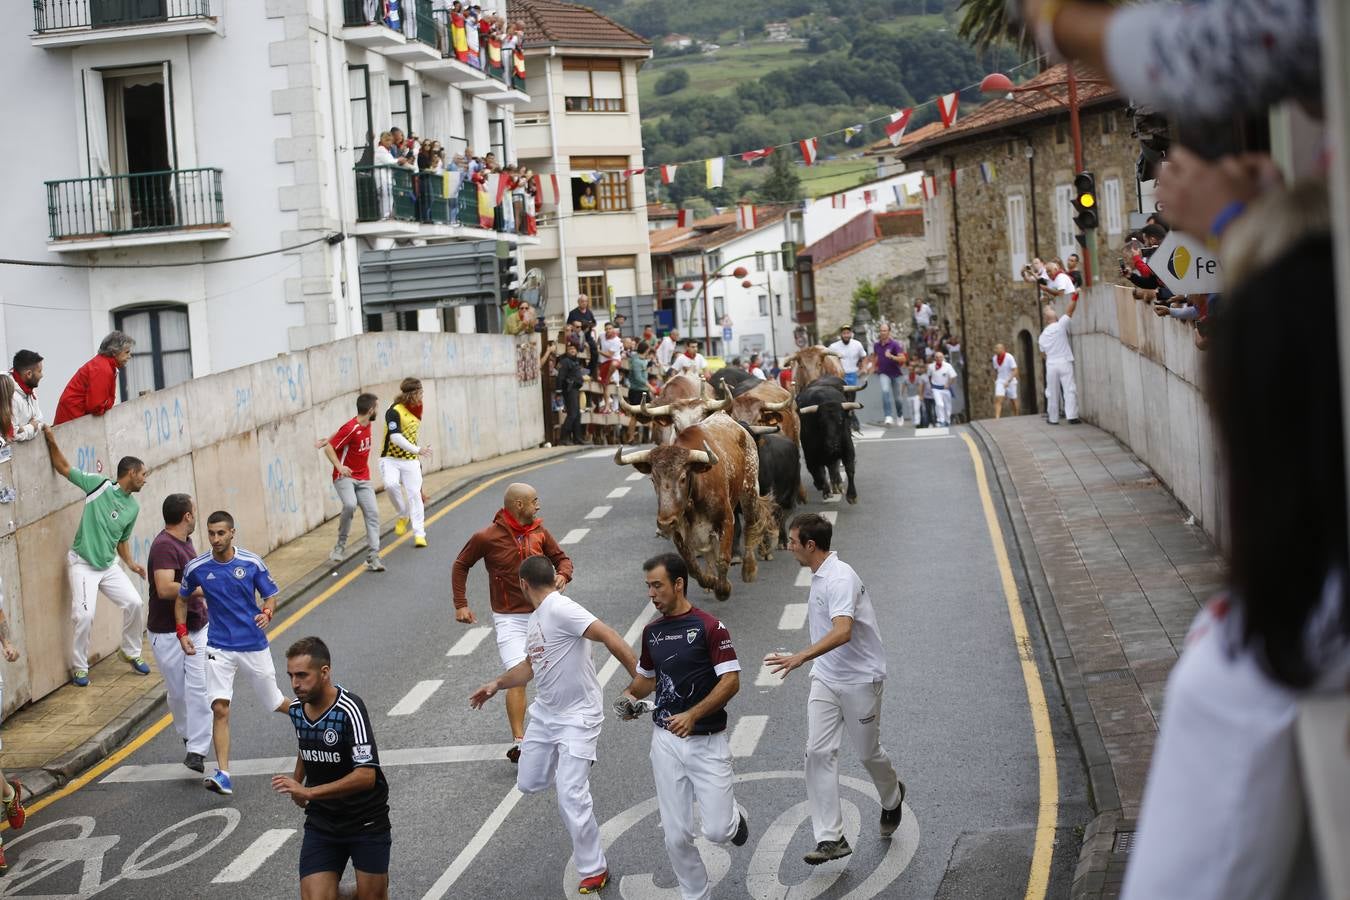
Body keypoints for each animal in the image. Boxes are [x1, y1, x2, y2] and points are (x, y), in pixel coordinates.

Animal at [618, 412, 766, 599]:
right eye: (653, 479)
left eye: (682, 478)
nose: (664, 523)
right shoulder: (679, 532)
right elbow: (693, 567)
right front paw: (710, 580)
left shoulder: (726, 519)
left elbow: (723, 558)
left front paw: (723, 589)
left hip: (750, 490)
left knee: (751, 526)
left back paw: (749, 568)